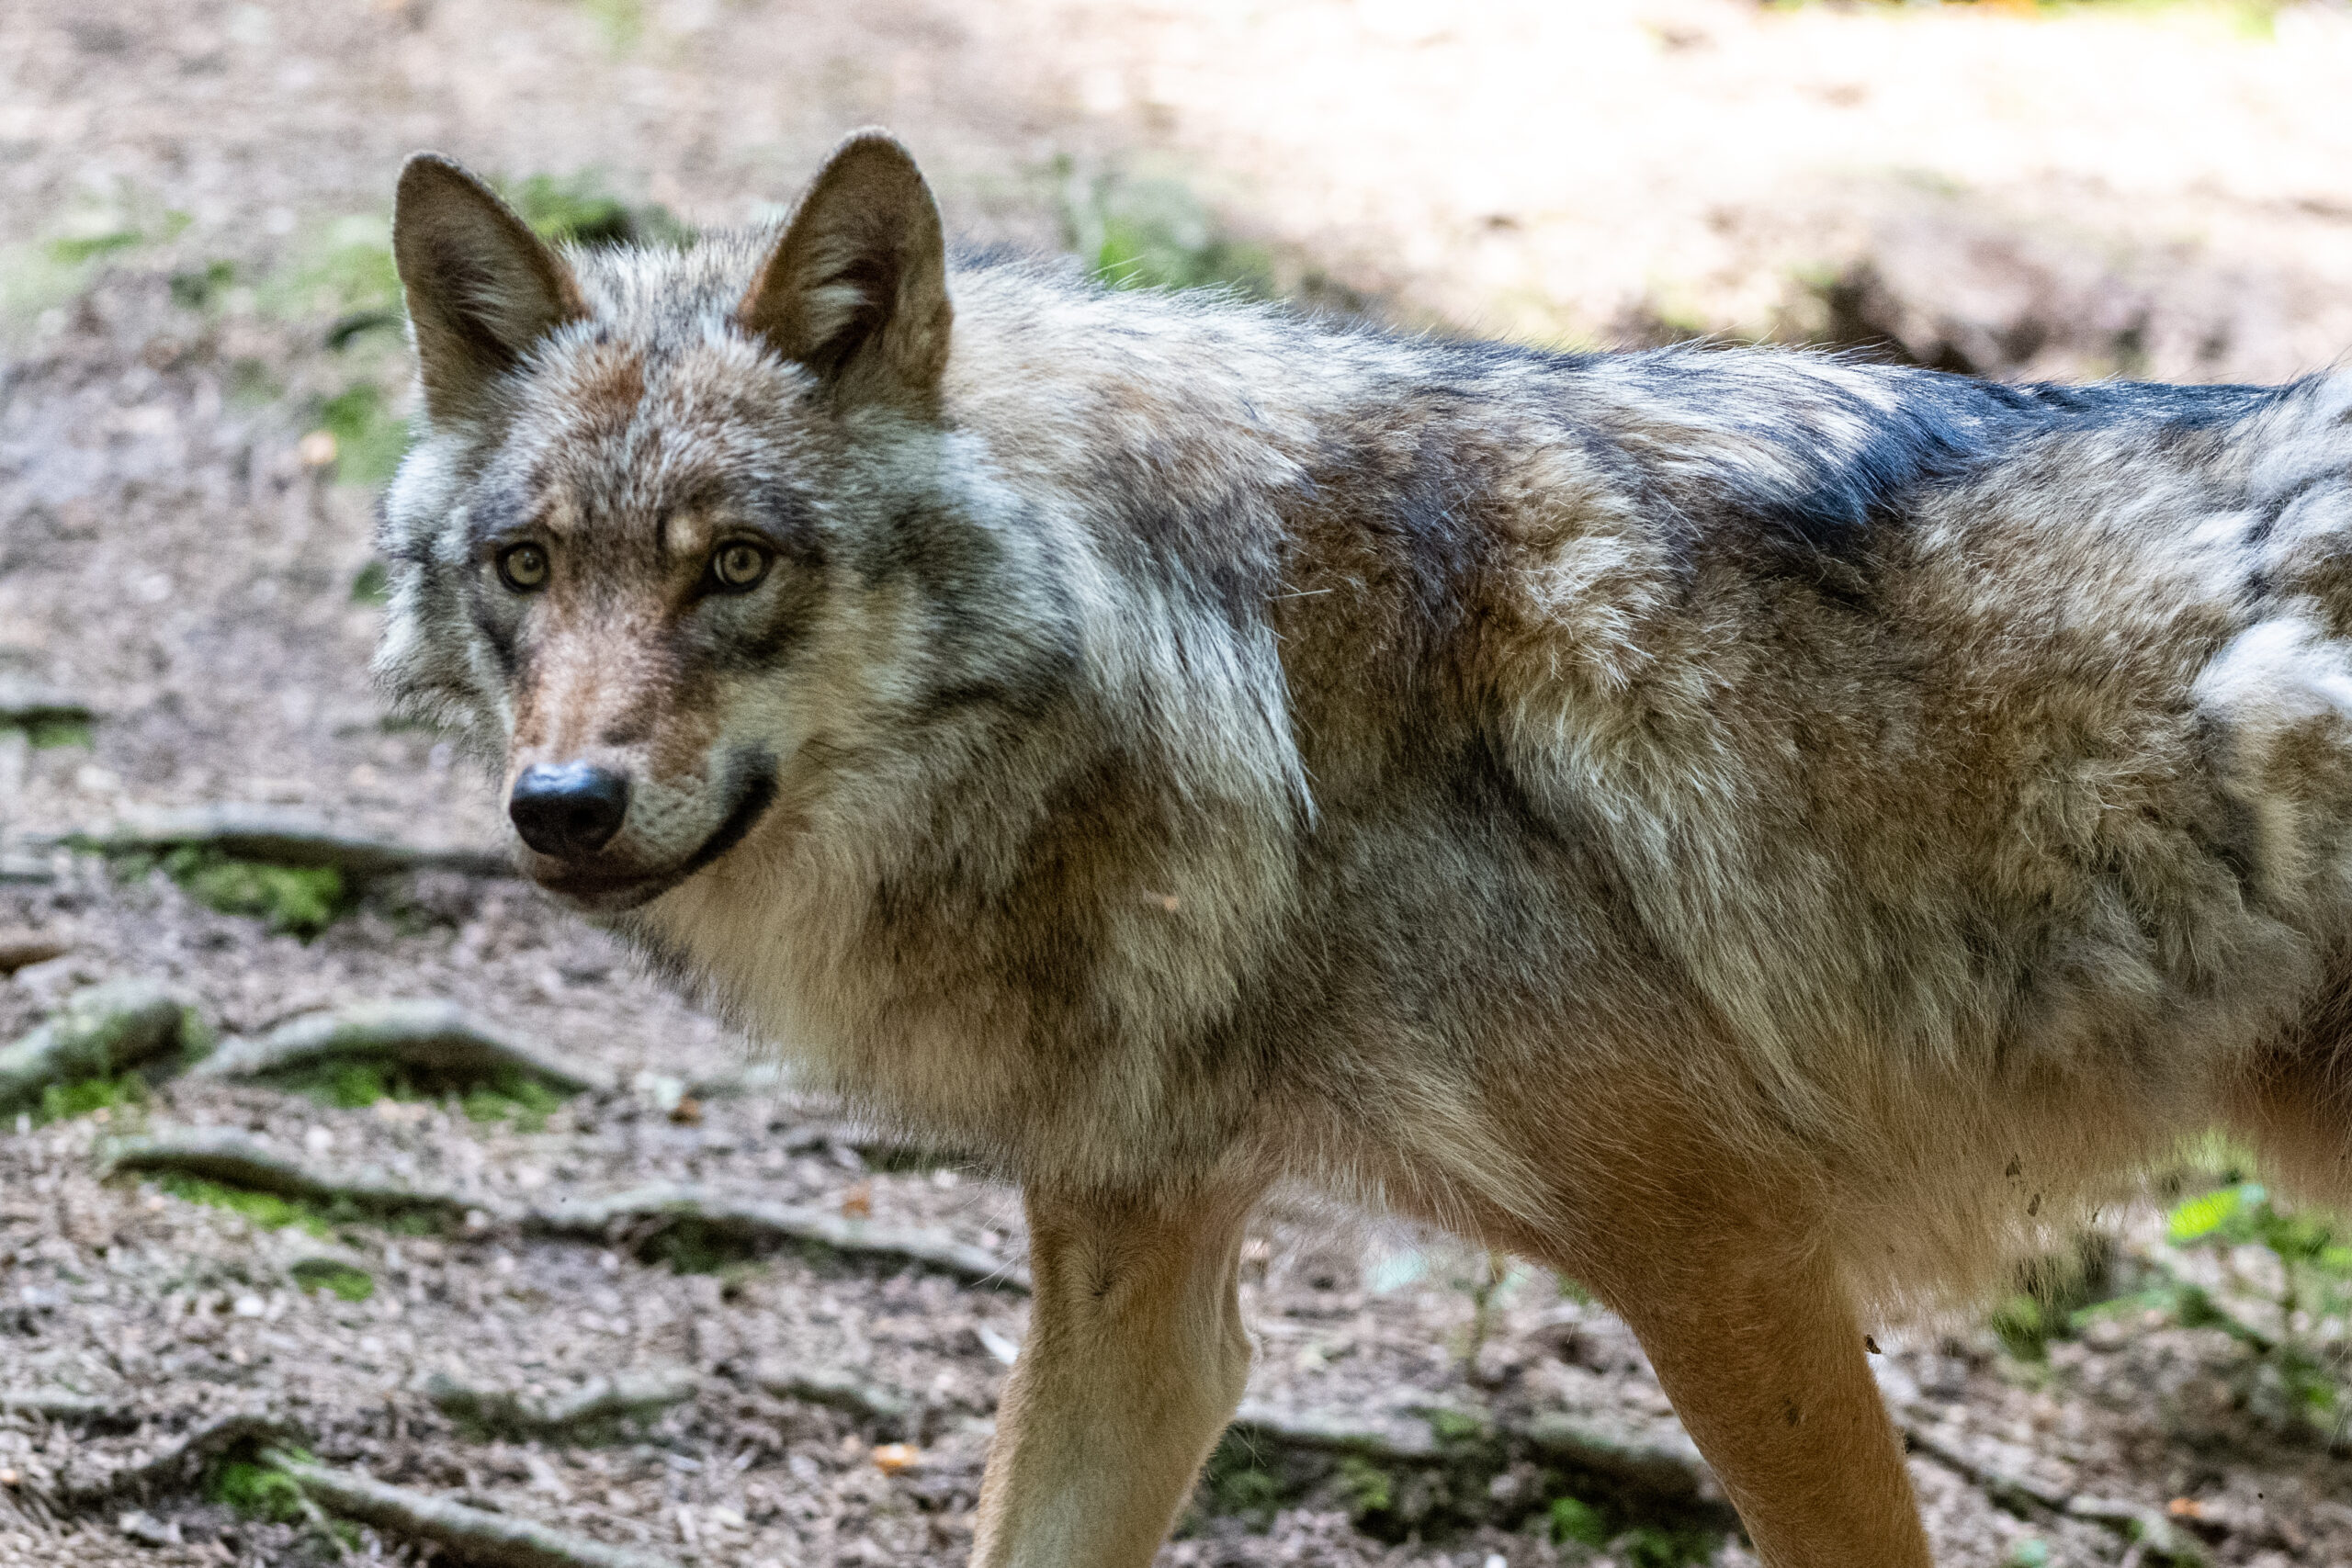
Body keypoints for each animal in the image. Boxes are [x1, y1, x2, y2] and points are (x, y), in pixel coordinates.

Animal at [371, 129, 2352, 1561]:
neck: (1223, 675)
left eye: (733, 565)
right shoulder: (1139, 1282)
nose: (562, 807)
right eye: (526, 565)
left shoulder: (1730, 1252)